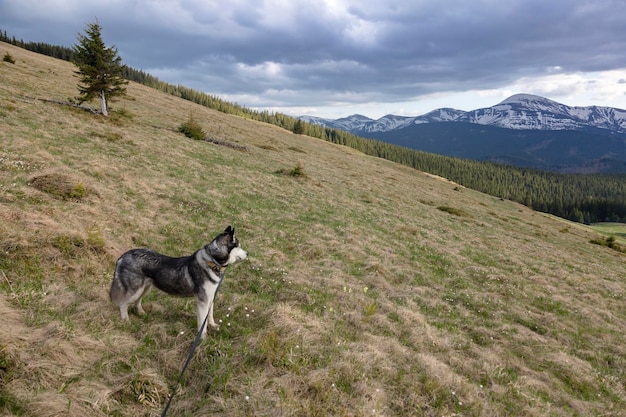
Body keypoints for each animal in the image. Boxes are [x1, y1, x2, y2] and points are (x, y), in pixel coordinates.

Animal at [109, 226, 246, 336]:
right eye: (239, 246)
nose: (247, 254)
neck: (212, 261)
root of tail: (123, 255)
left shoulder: (211, 297)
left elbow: (210, 315)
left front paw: (213, 325)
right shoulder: (202, 301)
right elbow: (202, 323)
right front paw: (203, 340)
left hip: (145, 288)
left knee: (137, 302)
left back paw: (141, 313)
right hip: (135, 291)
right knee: (123, 304)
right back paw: (126, 321)